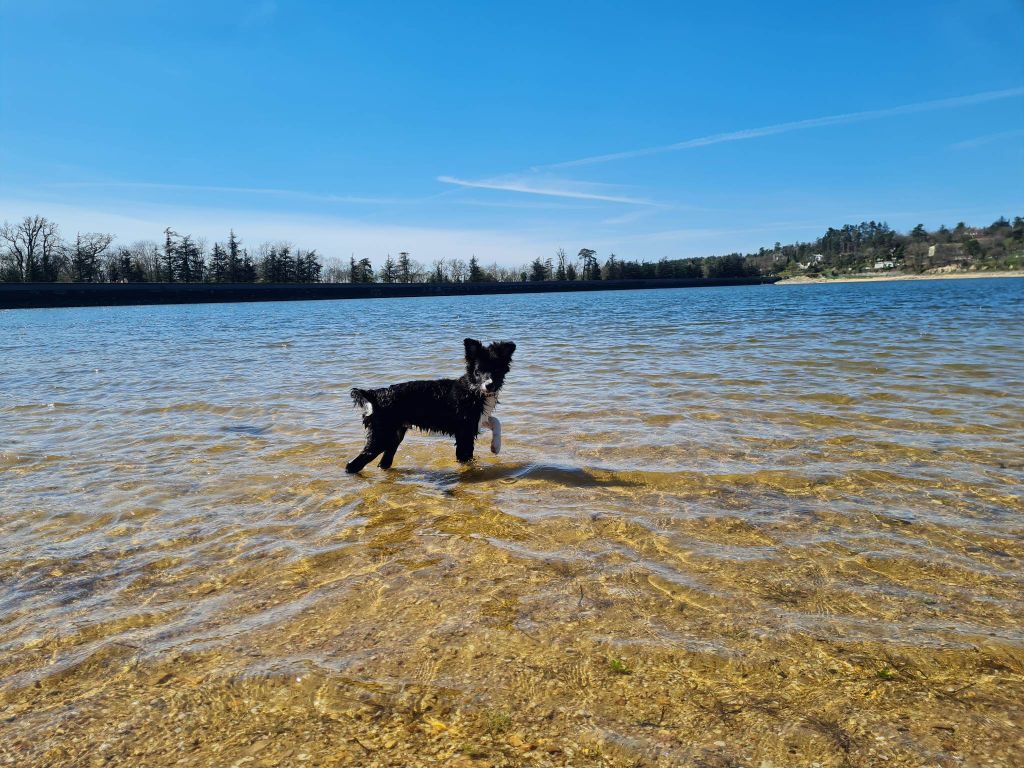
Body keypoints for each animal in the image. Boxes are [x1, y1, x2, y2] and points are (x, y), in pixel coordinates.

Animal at [346, 337, 520, 475]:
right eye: (478, 371)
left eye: (496, 370)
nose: (489, 385)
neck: (474, 390)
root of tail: (375, 395)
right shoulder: (465, 432)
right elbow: (466, 458)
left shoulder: (475, 421)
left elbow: (496, 421)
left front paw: (495, 446)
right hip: (382, 435)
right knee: (353, 464)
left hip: (394, 435)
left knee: (383, 462)